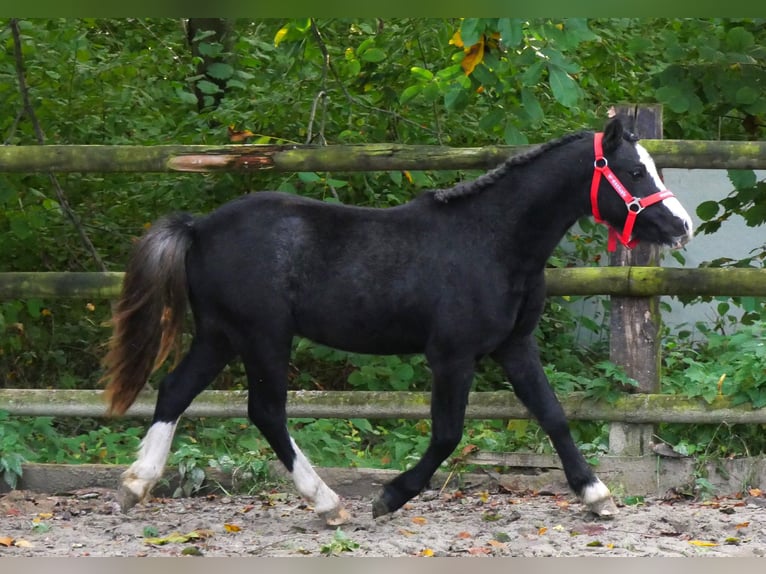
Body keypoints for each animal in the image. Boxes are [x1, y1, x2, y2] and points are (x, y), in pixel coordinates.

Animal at [103, 119, 696, 528]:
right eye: (635, 170)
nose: (682, 226)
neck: (494, 241)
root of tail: (199, 228)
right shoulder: (452, 356)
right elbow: (449, 433)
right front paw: (389, 497)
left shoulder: (513, 346)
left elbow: (553, 415)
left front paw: (596, 496)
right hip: (262, 337)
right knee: (266, 411)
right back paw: (329, 504)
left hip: (221, 334)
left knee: (175, 390)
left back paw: (136, 485)